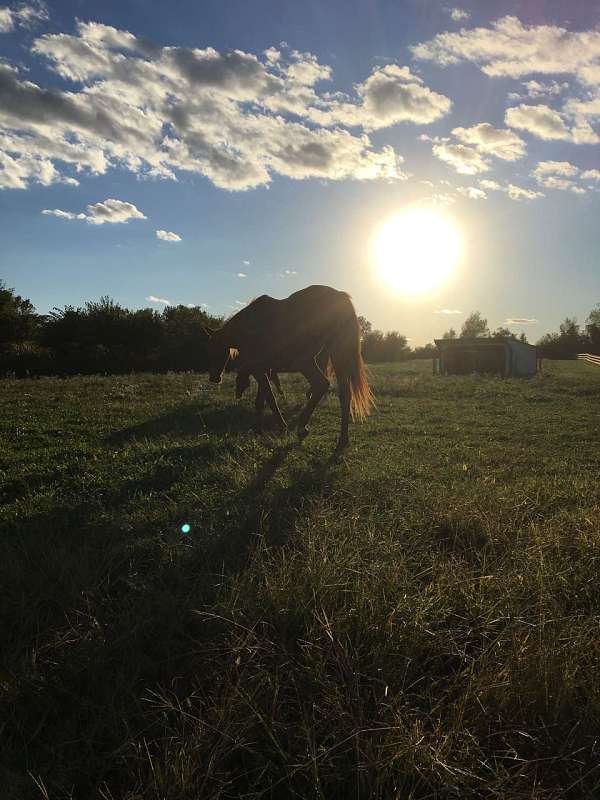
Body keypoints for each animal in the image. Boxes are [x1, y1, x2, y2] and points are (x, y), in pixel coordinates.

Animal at [204, 286, 372, 450]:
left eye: (215, 348)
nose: (214, 378)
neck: (249, 328)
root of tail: (340, 296)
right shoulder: (265, 369)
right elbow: (261, 400)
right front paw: (258, 429)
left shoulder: (259, 369)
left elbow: (270, 398)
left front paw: (281, 427)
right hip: (336, 356)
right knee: (344, 394)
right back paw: (342, 439)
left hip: (306, 361)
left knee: (321, 384)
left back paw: (302, 428)